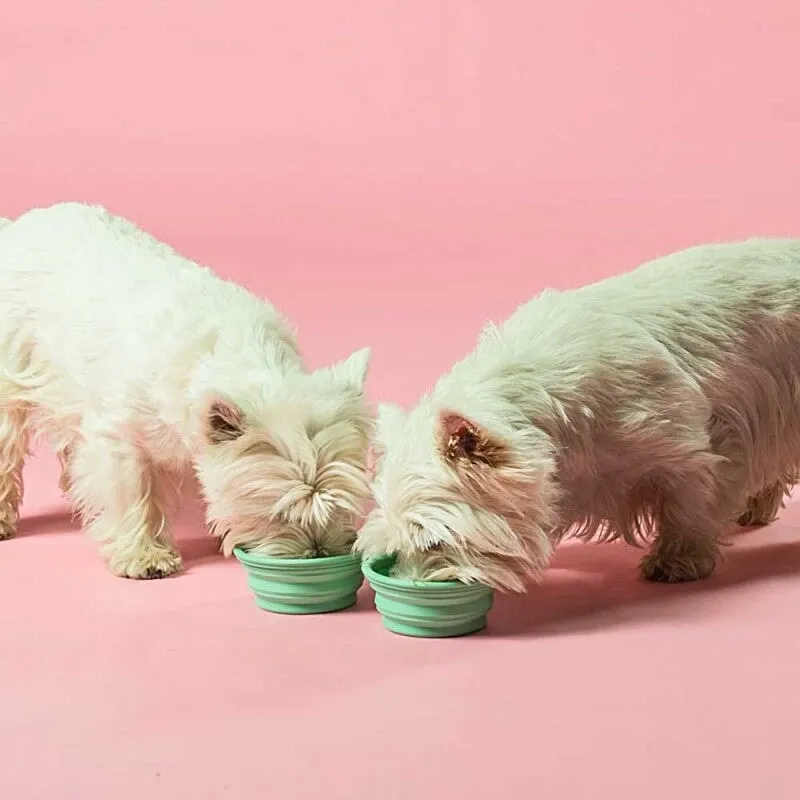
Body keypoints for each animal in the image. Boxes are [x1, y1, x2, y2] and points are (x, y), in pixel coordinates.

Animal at [0, 200, 372, 576]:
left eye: (340, 502)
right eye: (278, 512)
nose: (319, 552)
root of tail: (18, 226)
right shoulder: (120, 437)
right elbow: (133, 492)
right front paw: (145, 557)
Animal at [360, 241, 800, 592]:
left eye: (435, 541)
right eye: (395, 543)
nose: (411, 585)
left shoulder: (688, 442)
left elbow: (689, 502)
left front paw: (678, 561)